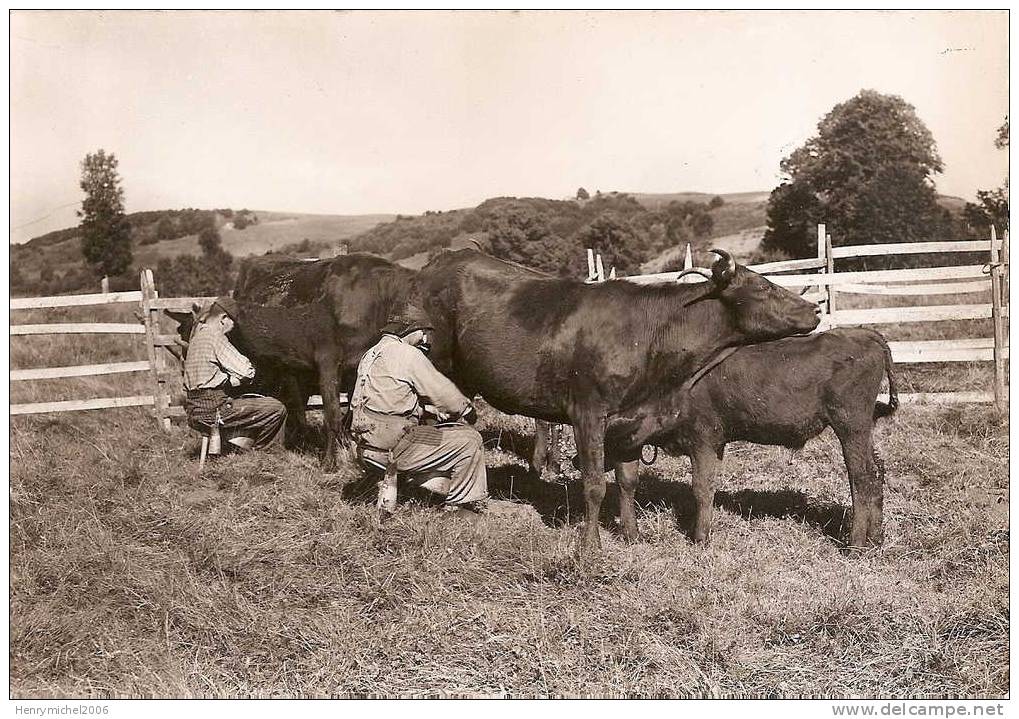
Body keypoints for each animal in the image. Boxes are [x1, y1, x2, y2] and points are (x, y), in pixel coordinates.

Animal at [413, 246, 819, 549]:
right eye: (764, 288)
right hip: (436, 364)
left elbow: (627, 479)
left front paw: (631, 533)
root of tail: (445, 259)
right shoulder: (587, 413)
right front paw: (590, 544)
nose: (815, 308)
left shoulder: (632, 421)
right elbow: (595, 483)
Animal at [595, 327, 900, 545]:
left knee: (861, 476)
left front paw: (700, 538)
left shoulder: (703, 439)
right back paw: (877, 538)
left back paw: (856, 544)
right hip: (863, 429)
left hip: (851, 426)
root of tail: (863, 333)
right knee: (877, 471)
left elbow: (701, 488)